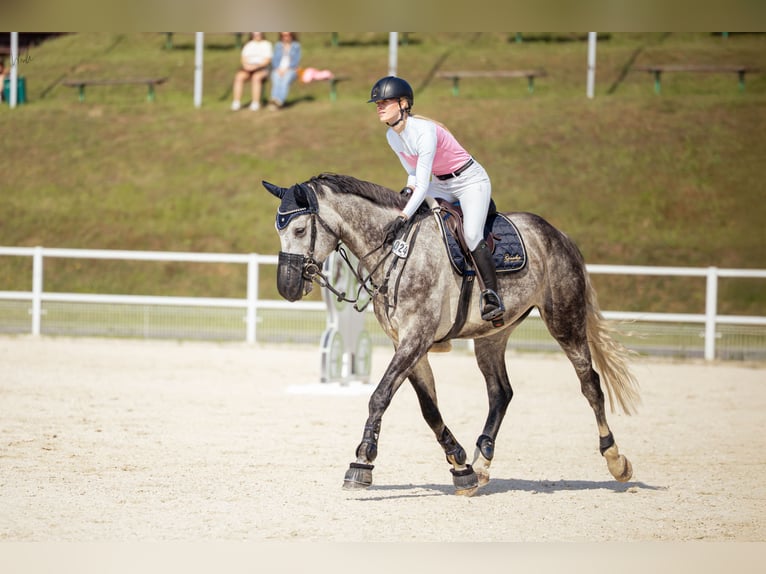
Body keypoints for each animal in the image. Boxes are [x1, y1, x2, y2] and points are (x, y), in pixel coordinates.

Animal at [263, 172, 640, 496]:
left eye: (299, 229)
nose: (287, 287)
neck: (394, 249)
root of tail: (559, 235)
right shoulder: (408, 345)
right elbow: (429, 409)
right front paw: (460, 466)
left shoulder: (416, 339)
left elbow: (379, 396)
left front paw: (363, 460)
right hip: (492, 335)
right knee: (501, 393)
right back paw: (482, 462)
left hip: (564, 320)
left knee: (589, 383)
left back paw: (615, 458)